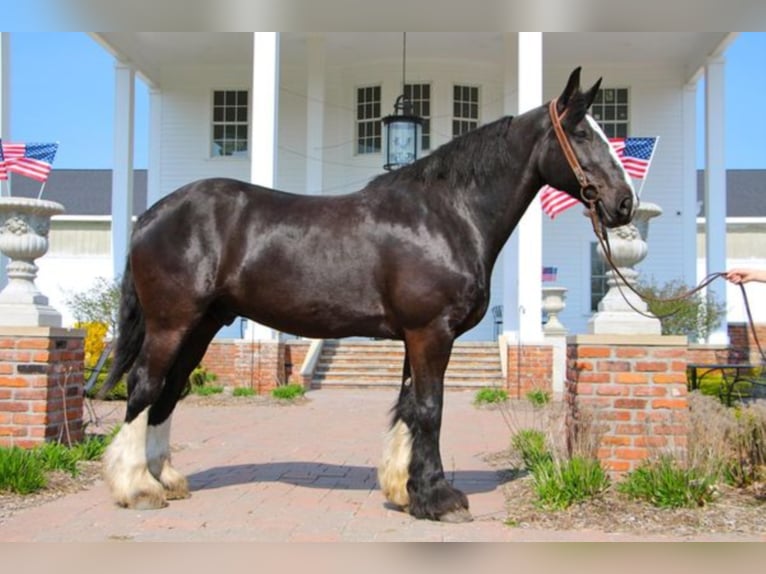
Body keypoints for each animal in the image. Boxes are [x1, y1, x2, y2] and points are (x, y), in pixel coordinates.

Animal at [103, 67, 640, 520]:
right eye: (582, 133)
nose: (624, 203)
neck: (445, 214)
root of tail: (152, 215)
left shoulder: (416, 336)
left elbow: (407, 406)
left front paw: (406, 490)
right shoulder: (431, 332)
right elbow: (429, 409)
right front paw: (439, 498)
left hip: (201, 326)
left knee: (170, 391)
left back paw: (167, 479)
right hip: (172, 323)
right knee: (145, 387)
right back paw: (138, 488)